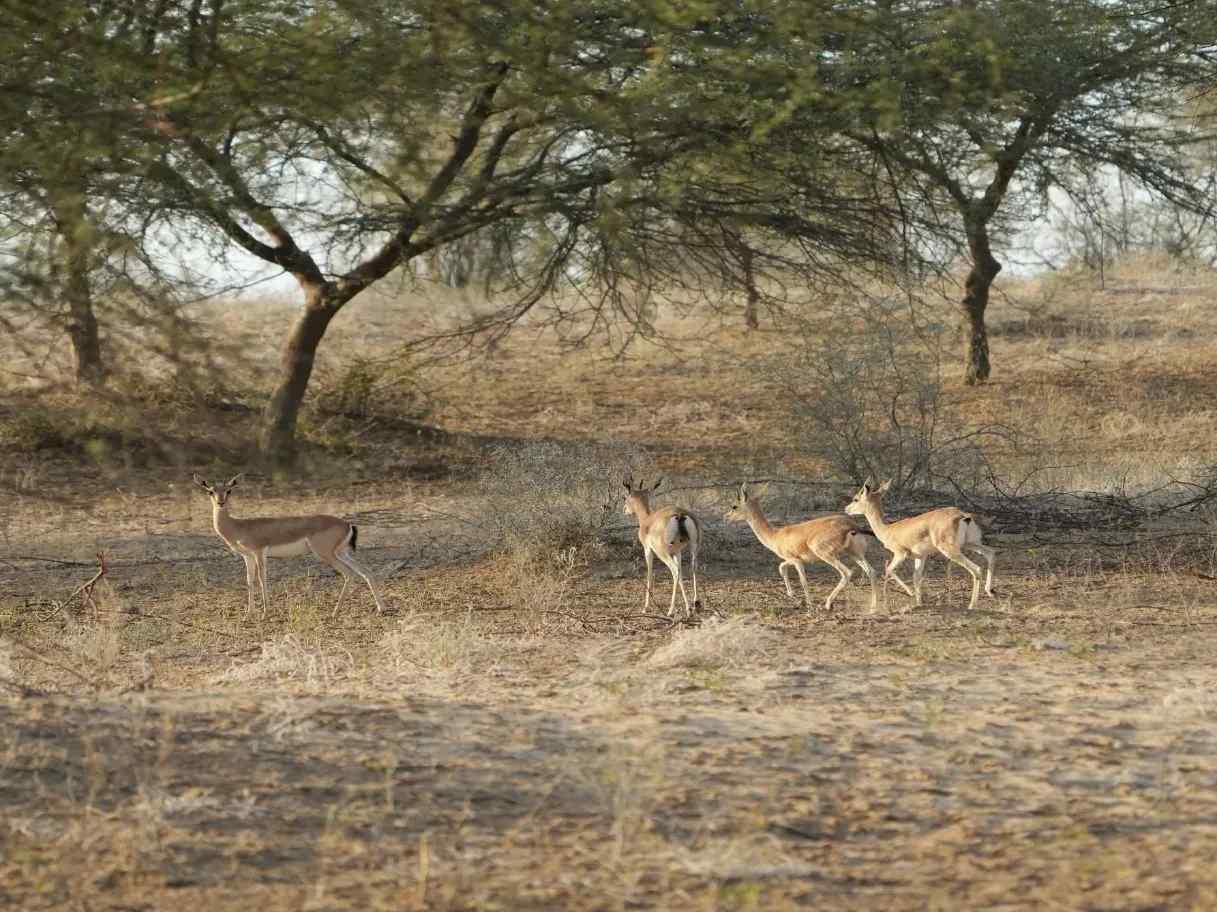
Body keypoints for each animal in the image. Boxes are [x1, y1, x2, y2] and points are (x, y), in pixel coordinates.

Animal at [192, 473, 385, 618]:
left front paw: (265, 613)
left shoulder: (259, 552)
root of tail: (347, 524)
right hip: (342, 553)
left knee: (349, 574)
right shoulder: (247, 556)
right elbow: (249, 581)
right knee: (366, 571)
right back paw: (381, 609)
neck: (238, 526)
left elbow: (262, 579)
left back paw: (335, 612)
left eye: (229, 490)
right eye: (210, 491)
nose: (221, 503)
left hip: (326, 554)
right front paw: (249, 614)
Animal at [622, 476, 701, 618]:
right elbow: (681, 575)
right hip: (694, 547)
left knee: (674, 571)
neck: (647, 520)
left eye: (626, 498)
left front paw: (646, 607)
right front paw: (688, 607)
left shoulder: (648, 550)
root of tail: (680, 514)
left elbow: (649, 574)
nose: (624, 509)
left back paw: (671, 610)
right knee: (692, 568)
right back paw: (696, 604)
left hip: (663, 553)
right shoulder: (677, 552)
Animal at [725, 482, 878, 612]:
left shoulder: (796, 561)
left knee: (847, 573)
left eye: (734, 506)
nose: (726, 517)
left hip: (827, 555)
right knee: (871, 571)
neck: (776, 535)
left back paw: (828, 604)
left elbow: (803, 580)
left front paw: (809, 604)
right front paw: (791, 593)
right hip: (854, 554)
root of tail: (851, 525)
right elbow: (781, 567)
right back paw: (873, 607)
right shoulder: (793, 560)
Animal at [844, 479, 997, 611]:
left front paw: (911, 593)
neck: (888, 530)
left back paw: (972, 605)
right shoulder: (920, 556)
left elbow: (889, 570)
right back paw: (990, 591)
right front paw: (918, 602)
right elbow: (916, 577)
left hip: (950, 550)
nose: (846, 509)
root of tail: (963, 516)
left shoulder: (901, 554)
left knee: (976, 569)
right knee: (990, 553)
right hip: (970, 544)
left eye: (856, 498)